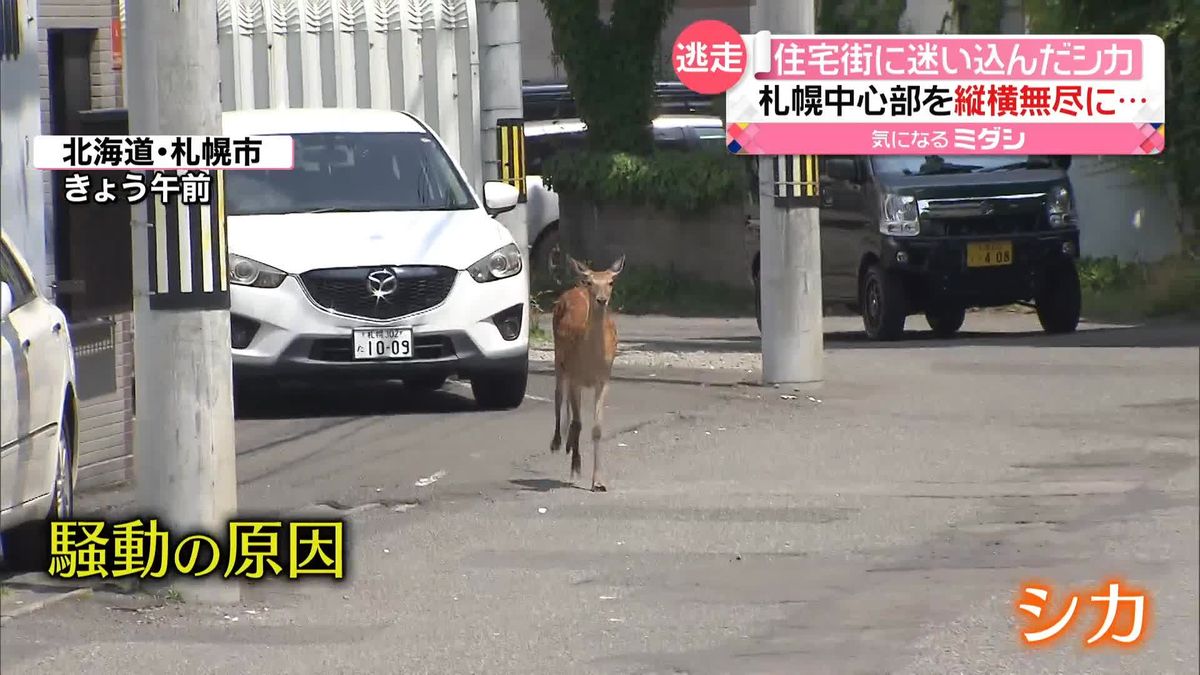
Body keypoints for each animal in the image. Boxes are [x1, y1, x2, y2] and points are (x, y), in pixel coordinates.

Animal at [549, 252, 628, 487]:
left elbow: (596, 429)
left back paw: (567, 445)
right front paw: (576, 467)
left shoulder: (603, 380)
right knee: (559, 396)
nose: (602, 300)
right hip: (559, 358)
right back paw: (557, 442)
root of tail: (573, 289)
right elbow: (578, 423)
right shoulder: (575, 377)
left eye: (611, 282)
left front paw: (598, 481)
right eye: (591, 282)